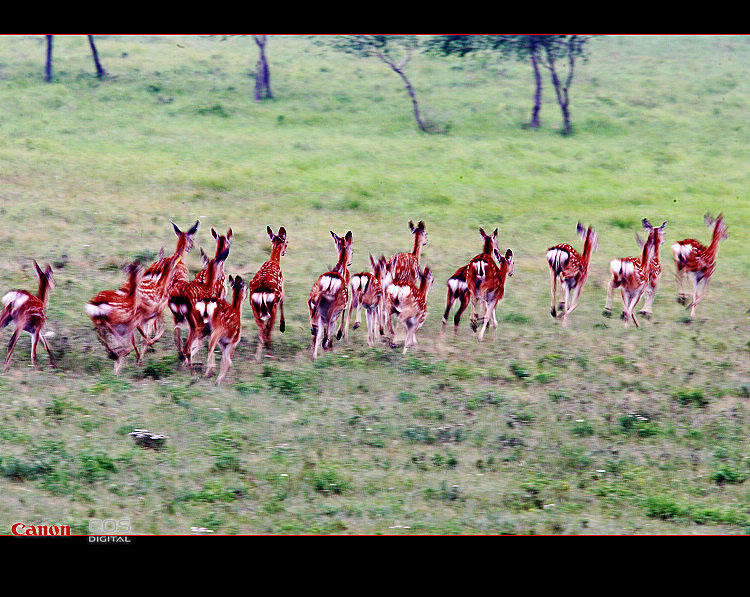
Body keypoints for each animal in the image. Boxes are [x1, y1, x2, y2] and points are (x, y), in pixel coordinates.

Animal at [251, 226, 290, 360]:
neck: (274, 262)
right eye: (286, 243)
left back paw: (258, 357)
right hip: (272, 307)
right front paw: (282, 326)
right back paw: (269, 353)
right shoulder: (282, 290)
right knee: (267, 328)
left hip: (254, 308)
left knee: (262, 328)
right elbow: (283, 302)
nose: (284, 252)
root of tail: (262, 293)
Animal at [306, 228, 354, 358]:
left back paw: (314, 357)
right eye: (352, 251)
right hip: (330, 311)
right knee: (324, 336)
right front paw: (338, 337)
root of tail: (329, 284)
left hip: (313, 307)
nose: (350, 262)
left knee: (315, 333)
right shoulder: (340, 309)